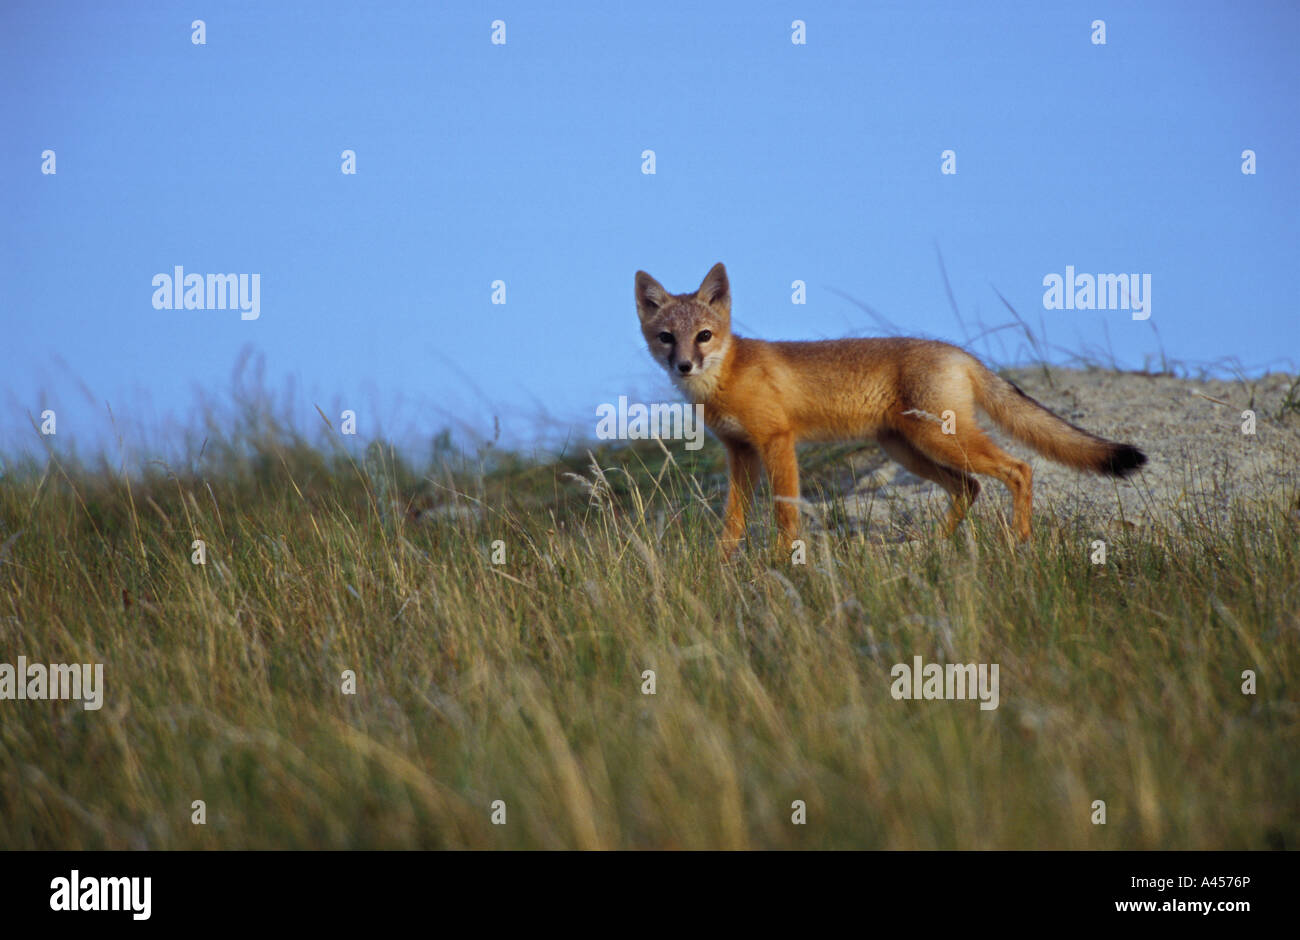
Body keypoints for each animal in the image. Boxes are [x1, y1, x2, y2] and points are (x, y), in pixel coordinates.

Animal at [634, 262, 1147, 554]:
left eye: (704, 336)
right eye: (667, 337)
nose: (683, 365)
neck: (729, 377)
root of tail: (959, 353)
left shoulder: (777, 441)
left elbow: (785, 515)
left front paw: (784, 563)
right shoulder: (739, 452)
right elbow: (733, 521)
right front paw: (725, 565)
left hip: (940, 440)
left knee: (1019, 469)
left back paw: (1019, 540)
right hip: (908, 449)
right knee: (970, 488)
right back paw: (934, 547)